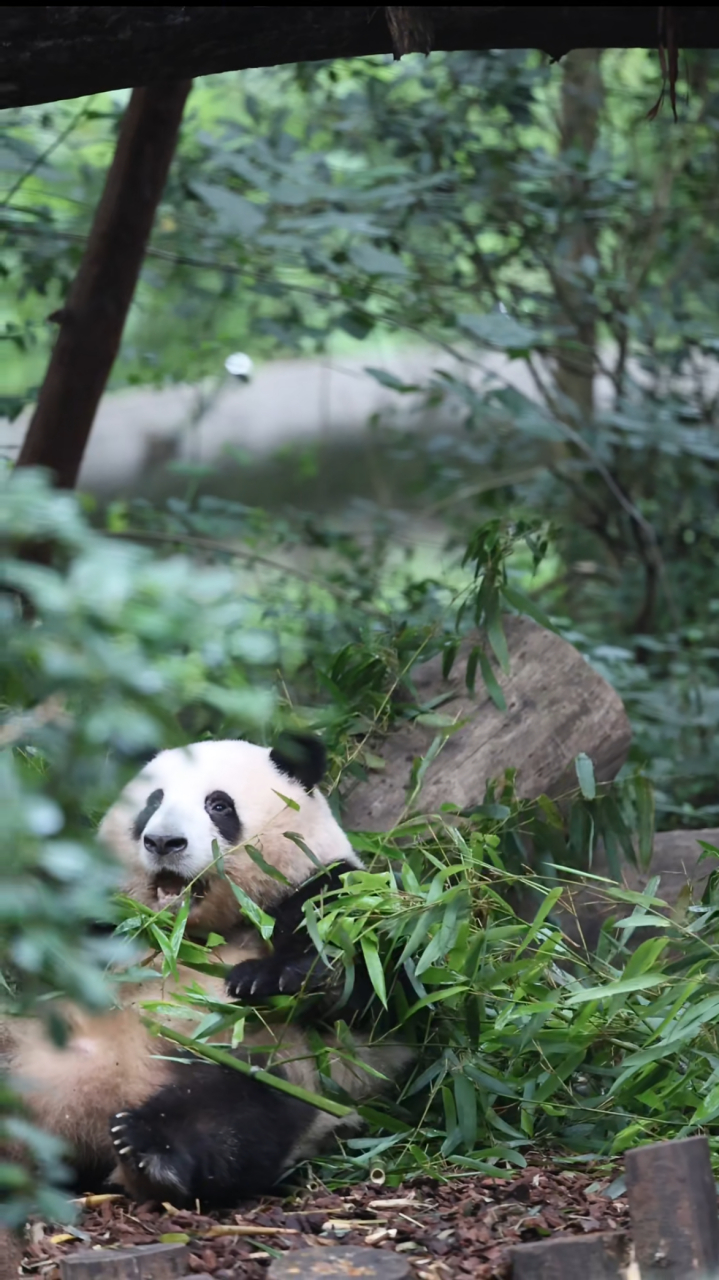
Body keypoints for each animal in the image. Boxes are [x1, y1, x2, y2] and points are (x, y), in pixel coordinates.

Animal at [6, 737, 409, 1203]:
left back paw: (151, 1151)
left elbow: (375, 985)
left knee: (241, 1113)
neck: (195, 932)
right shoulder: (106, 920)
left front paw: (269, 978)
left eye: (218, 805)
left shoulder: (326, 887)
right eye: (153, 801)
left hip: (273, 1063)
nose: (164, 841)